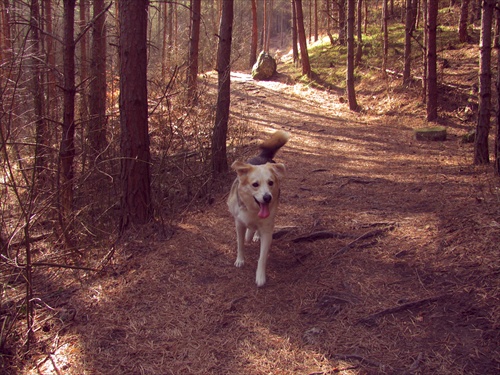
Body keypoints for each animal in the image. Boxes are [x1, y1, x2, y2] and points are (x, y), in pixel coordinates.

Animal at [228, 131, 290, 286]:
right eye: (255, 184)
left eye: (270, 183)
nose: (267, 197)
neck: (254, 210)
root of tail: (263, 157)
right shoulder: (239, 223)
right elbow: (241, 243)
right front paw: (240, 260)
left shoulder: (267, 230)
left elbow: (262, 257)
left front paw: (260, 276)